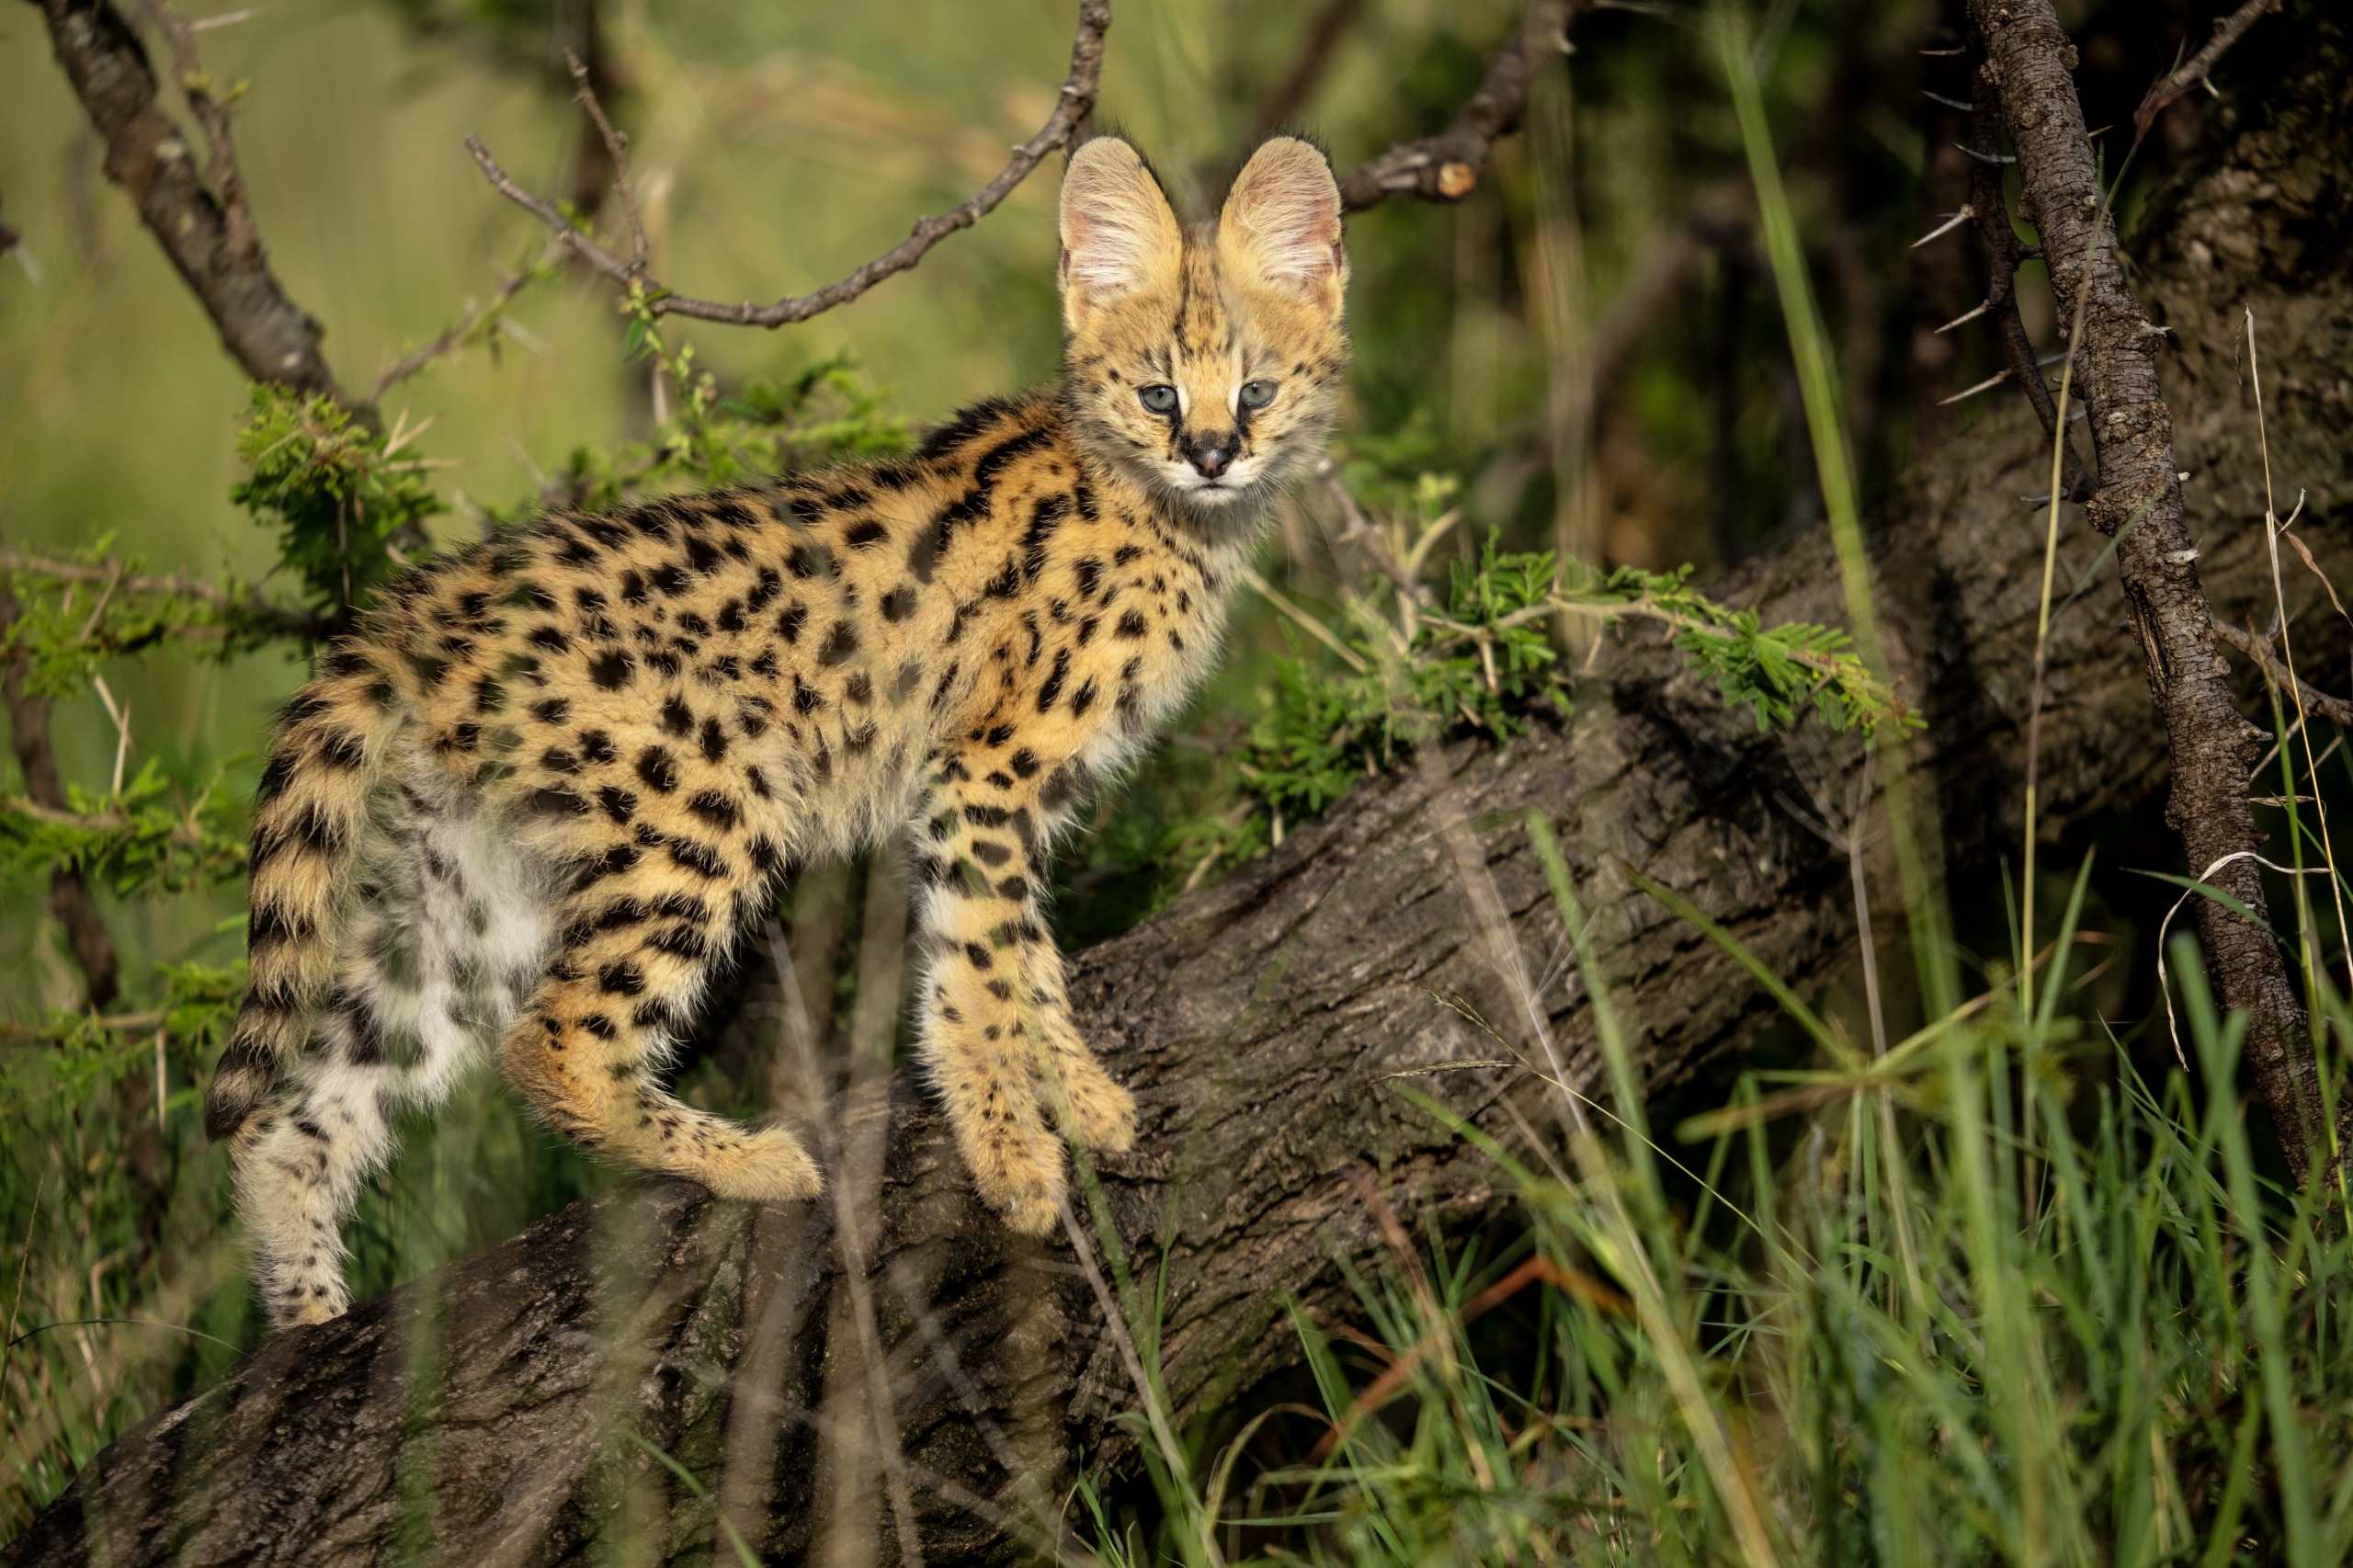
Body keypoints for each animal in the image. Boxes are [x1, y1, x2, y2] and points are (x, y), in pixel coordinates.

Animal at [211, 134, 1355, 1327]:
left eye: (1257, 389)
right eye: (1158, 392)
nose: (1214, 451)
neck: (1159, 501)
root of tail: (422, 605)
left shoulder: (1002, 790)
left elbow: (1017, 948)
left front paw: (1074, 1091)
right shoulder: (982, 767)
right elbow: (982, 959)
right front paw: (1012, 1151)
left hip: (475, 888)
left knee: (294, 1113)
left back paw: (307, 1320)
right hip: (707, 802)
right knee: (551, 1040)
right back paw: (748, 1159)